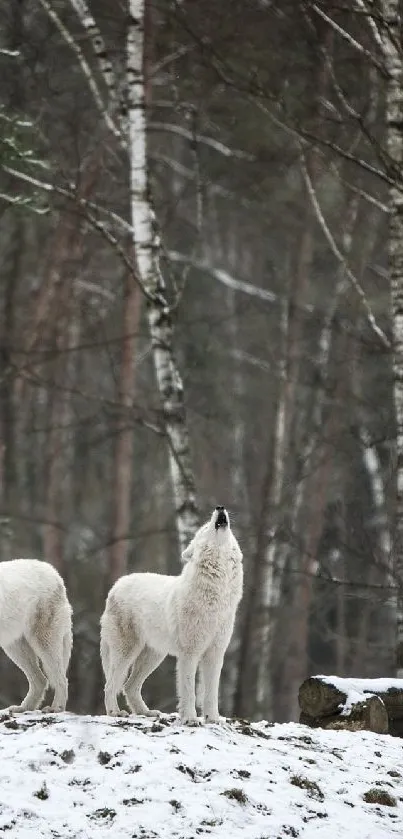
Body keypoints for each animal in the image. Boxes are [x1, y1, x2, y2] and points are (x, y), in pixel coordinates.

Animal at [0, 556, 72, 716]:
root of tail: (55, 574)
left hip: (43, 643)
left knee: (61, 680)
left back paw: (55, 708)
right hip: (14, 648)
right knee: (41, 680)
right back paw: (23, 708)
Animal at [100, 508, 243, 724]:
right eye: (205, 528)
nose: (220, 507)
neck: (217, 596)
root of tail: (116, 586)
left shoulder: (215, 653)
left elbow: (211, 692)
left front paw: (212, 719)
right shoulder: (189, 653)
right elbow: (189, 690)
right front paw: (190, 719)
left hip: (153, 656)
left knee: (129, 686)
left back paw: (145, 712)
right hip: (127, 652)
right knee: (110, 685)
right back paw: (115, 712)